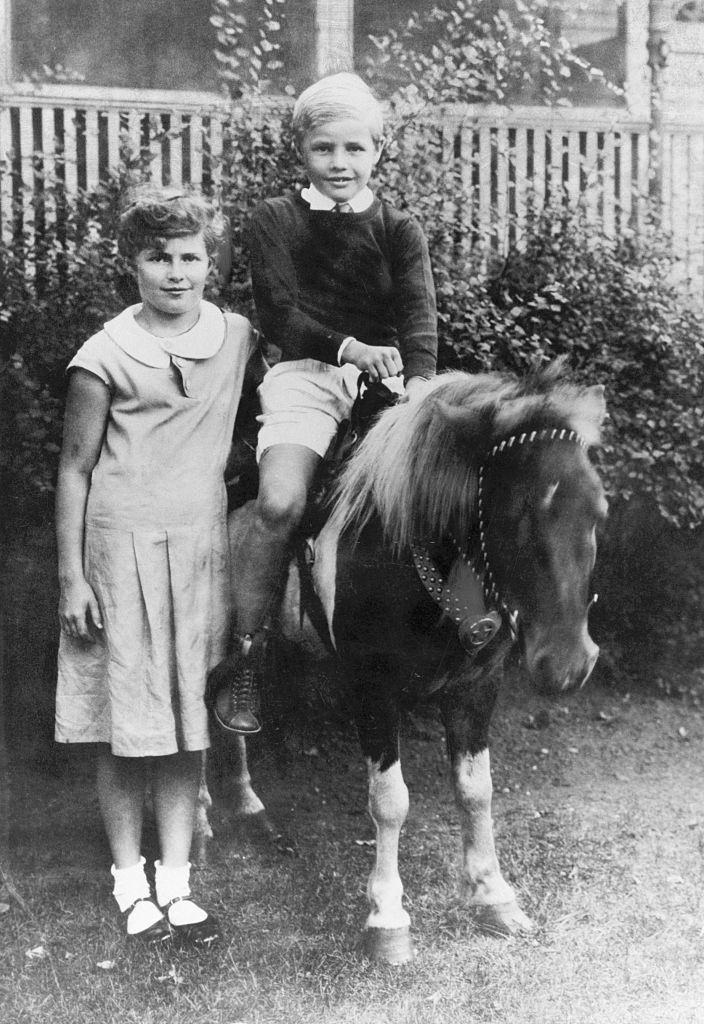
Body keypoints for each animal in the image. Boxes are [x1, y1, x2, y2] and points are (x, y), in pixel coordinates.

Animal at [200, 360, 605, 958]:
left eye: (599, 509)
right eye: (519, 514)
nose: (569, 663)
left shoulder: (476, 687)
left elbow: (476, 791)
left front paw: (493, 895)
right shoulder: (373, 690)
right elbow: (390, 800)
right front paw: (387, 919)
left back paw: (250, 809)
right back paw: (201, 819)